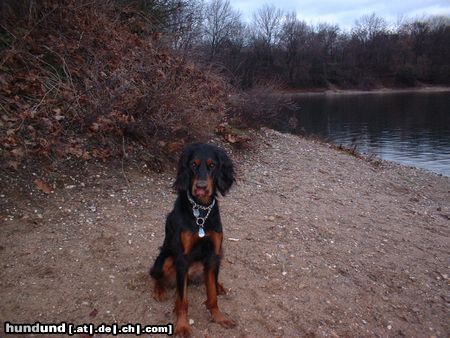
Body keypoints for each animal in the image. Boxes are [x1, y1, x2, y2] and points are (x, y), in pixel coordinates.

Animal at [150, 144, 236, 336]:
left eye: (212, 165)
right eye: (193, 165)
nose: (201, 187)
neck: (201, 210)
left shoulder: (213, 255)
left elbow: (212, 296)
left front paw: (219, 317)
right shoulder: (182, 258)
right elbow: (182, 301)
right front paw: (182, 326)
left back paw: (219, 286)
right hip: (165, 260)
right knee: (155, 276)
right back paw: (159, 291)